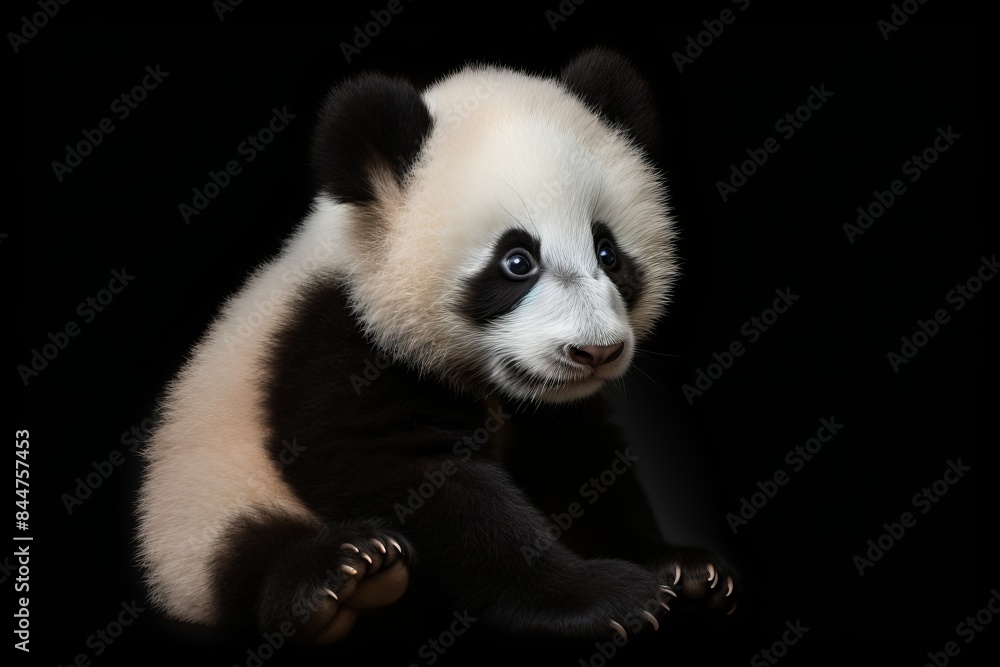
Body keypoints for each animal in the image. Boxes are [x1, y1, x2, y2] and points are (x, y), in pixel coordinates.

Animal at [136, 47, 739, 645]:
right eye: (517, 262)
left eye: (608, 252)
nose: (595, 352)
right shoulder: (333, 342)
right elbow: (414, 476)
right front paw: (605, 595)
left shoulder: (553, 409)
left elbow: (585, 466)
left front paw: (681, 567)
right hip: (201, 508)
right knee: (245, 551)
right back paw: (346, 575)